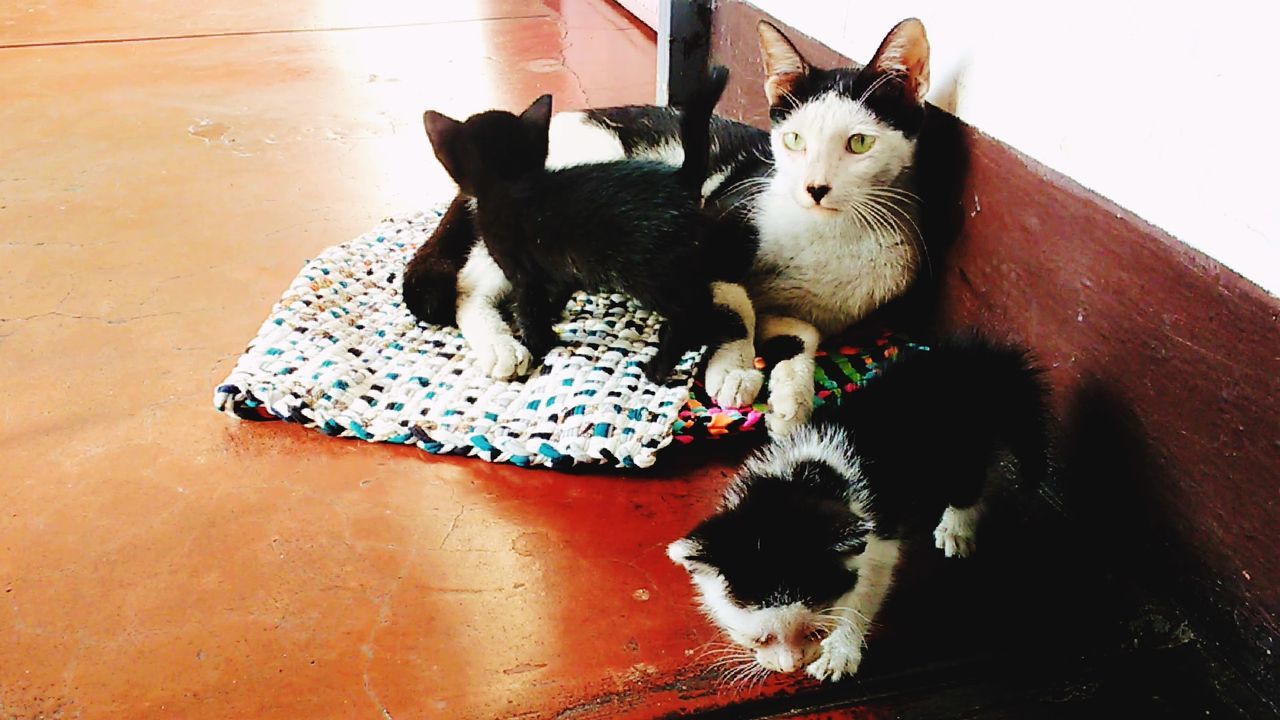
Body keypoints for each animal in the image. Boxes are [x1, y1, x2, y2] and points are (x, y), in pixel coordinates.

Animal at [419, 67, 742, 381]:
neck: (511, 180)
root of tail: (681, 179)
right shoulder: (560, 262)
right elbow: (559, 288)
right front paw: (554, 313)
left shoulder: (523, 271)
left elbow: (530, 310)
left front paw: (539, 343)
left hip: (654, 273)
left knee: (694, 311)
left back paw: (661, 366)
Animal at [660, 333, 1049, 681]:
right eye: (760, 638)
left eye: (814, 631)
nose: (789, 667)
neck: (798, 482)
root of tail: (973, 362)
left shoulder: (878, 539)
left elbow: (865, 592)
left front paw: (840, 651)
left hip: (960, 453)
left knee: (971, 485)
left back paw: (956, 528)